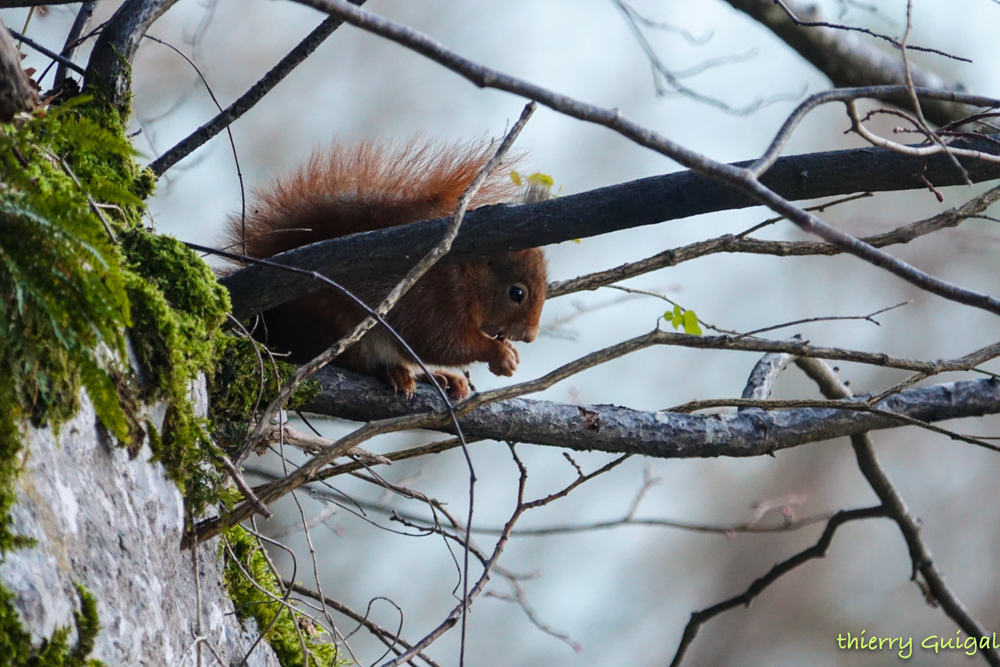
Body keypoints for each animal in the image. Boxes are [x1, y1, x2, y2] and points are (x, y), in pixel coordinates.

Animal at [224, 139, 552, 400]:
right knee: (353, 361)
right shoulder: (433, 300)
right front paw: (499, 354)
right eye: (517, 293)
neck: (465, 275)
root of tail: (274, 329)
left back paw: (440, 377)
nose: (530, 336)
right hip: (335, 326)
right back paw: (394, 373)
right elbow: (442, 343)